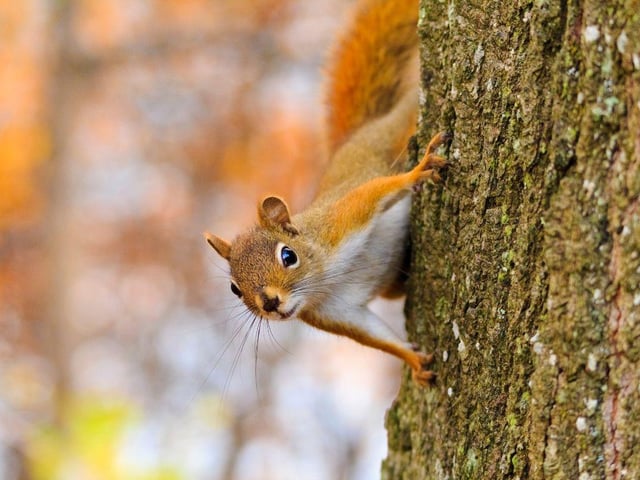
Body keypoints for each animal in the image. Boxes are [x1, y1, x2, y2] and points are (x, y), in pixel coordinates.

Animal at [205, 0, 448, 386]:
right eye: (234, 289)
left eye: (288, 256)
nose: (270, 304)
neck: (323, 280)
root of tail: (354, 137)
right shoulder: (335, 312)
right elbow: (375, 337)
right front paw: (413, 361)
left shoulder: (341, 221)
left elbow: (375, 192)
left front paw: (419, 170)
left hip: (392, 133)